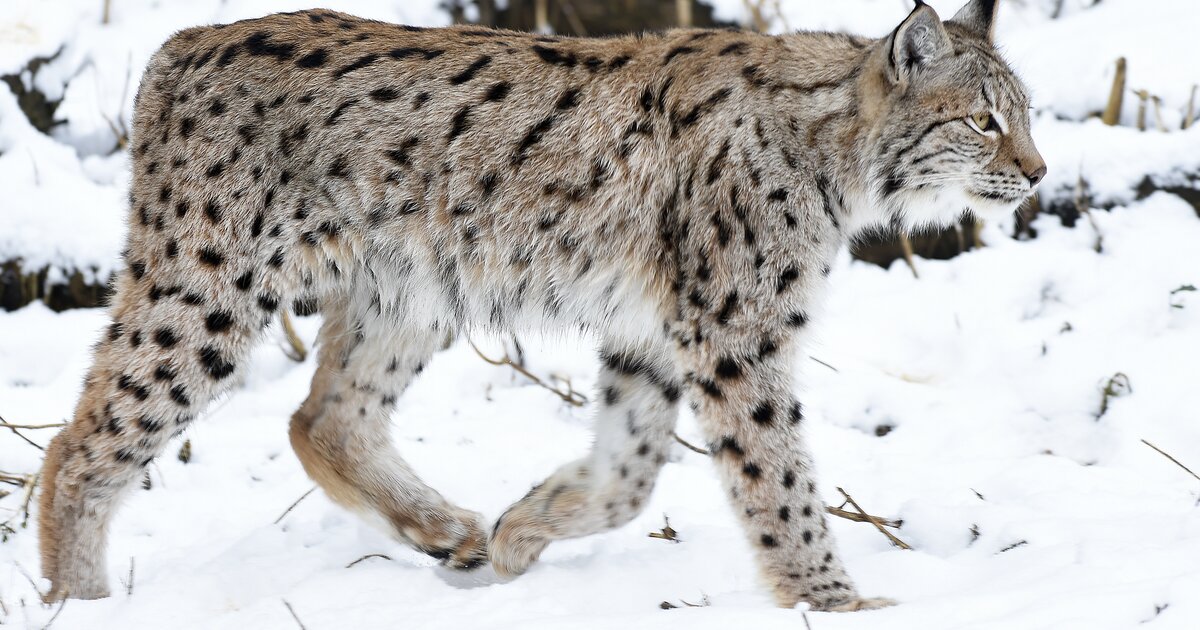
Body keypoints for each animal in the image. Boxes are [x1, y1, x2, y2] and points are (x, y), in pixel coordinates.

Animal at [38, 0, 1044, 612]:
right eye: (983, 121)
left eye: (1024, 116)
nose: (1037, 174)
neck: (841, 151)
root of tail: (181, 42)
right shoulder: (733, 332)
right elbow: (778, 479)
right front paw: (834, 602)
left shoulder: (656, 333)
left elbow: (629, 476)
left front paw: (527, 531)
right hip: (211, 283)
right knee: (78, 440)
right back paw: (79, 603)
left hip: (411, 287)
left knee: (321, 416)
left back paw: (448, 531)